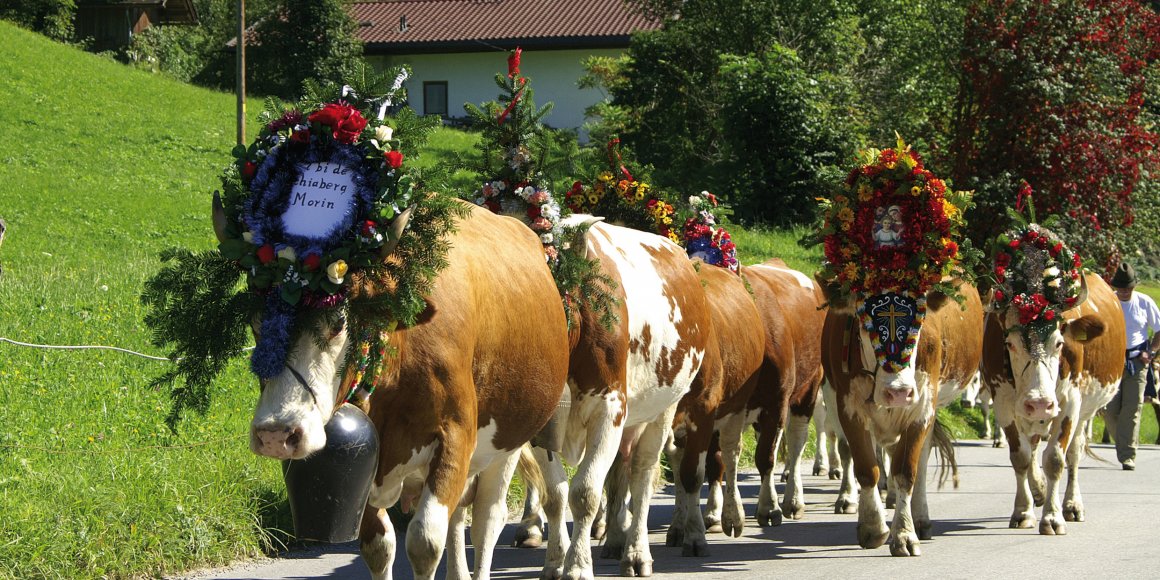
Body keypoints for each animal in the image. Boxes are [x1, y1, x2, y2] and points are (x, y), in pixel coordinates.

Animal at [226, 200, 570, 580]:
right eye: (257, 323)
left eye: (338, 323)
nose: (276, 433)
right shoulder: (369, 468)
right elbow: (378, 547)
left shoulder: (456, 436)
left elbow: (425, 541)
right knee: (460, 516)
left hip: (509, 439)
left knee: (486, 521)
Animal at [816, 280, 979, 556]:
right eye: (864, 324)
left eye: (920, 323)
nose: (899, 392)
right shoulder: (848, 406)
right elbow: (866, 467)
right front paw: (873, 527)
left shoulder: (922, 408)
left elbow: (906, 470)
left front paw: (904, 533)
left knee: (920, 459)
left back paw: (920, 519)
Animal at [979, 271, 1122, 533]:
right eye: (1009, 343)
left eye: (1059, 343)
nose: (1039, 403)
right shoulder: (1003, 403)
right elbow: (1021, 457)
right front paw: (1023, 511)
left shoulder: (1070, 402)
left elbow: (1055, 459)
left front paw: (1052, 517)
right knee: (1033, 445)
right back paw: (1038, 491)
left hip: (1084, 412)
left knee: (1074, 453)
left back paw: (1072, 505)